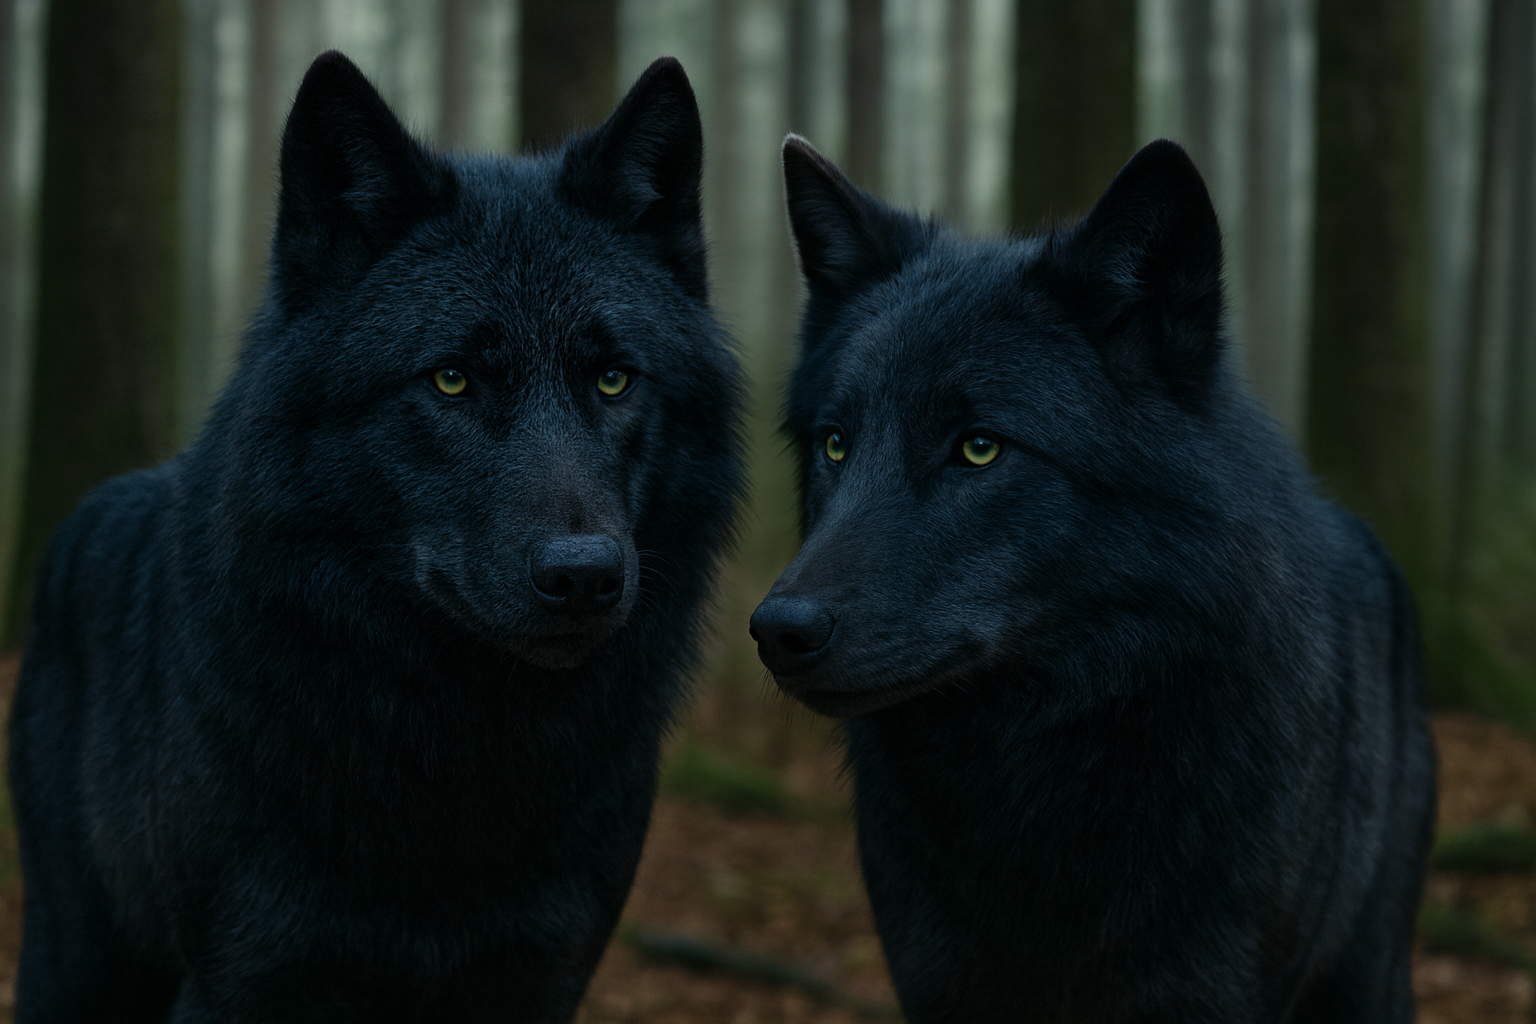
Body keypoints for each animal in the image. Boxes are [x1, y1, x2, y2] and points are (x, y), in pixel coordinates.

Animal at [10, 52, 741, 1022]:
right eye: (452, 379)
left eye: (615, 379)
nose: (584, 576)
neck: (456, 765)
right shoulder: (241, 980)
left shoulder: (545, 979)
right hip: (74, 966)